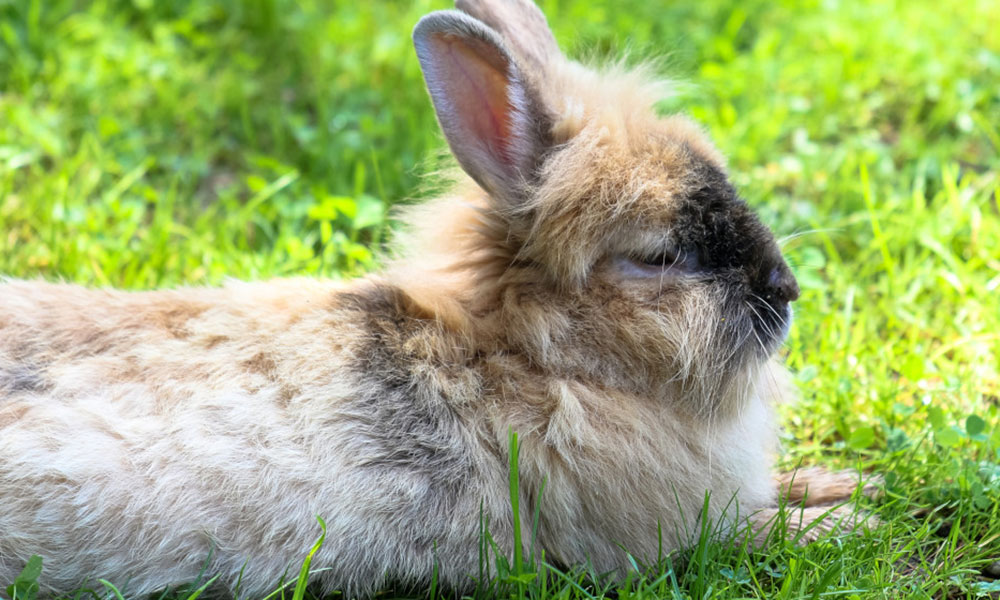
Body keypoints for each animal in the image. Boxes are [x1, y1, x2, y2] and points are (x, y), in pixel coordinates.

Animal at [0, 0, 869, 596]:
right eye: (658, 257)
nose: (786, 289)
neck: (536, 360)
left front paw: (838, 486)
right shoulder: (649, 539)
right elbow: (740, 533)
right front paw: (837, 521)